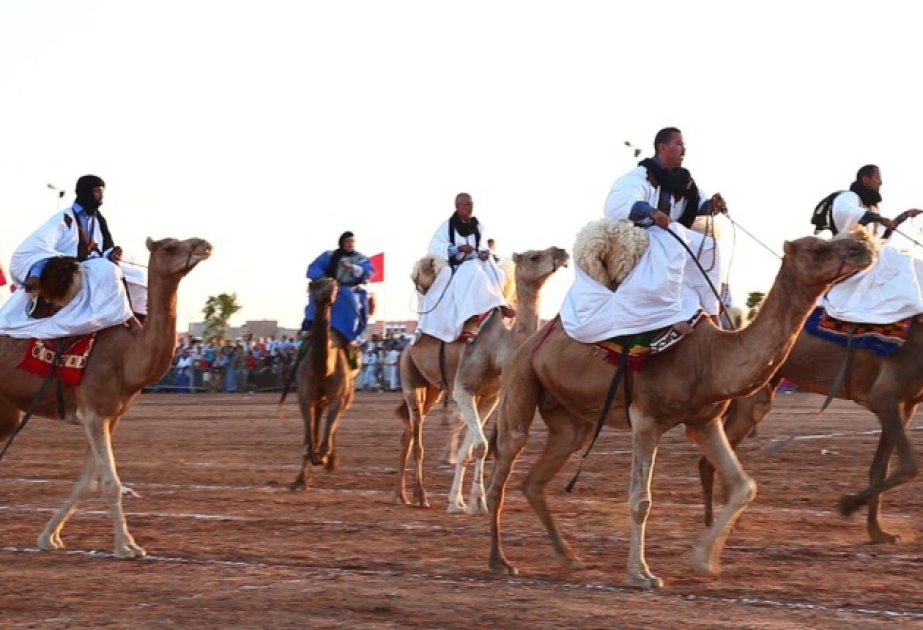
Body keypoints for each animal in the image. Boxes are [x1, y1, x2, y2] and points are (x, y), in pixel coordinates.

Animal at [0, 237, 212, 558]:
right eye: (170, 246)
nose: (204, 244)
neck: (128, 358)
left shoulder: (110, 417)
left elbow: (87, 484)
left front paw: (49, 538)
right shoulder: (93, 414)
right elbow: (110, 482)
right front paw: (126, 547)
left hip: (7, 409)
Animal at [288, 276, 356, 491]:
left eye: (335, 285)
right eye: (317, 284)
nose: (330, 291)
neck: (324, 368)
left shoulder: (338, 397)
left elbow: (329, 431)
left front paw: (324, 458)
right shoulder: (305, 395)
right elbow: (309, 438)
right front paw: (301, 478)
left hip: (346, 397)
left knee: (333, 427)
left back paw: (329, 460)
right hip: (318, 401)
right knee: (315, 428)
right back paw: (301, 478)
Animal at [393, 247, 569, 510]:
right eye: (534, 257)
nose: (562, 252)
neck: (499, 348)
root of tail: (407, 347)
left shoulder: (490, 396)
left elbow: (474, 449)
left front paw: (472, 502)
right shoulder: (463, 389)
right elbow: (480, 445)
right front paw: (466, 503)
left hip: (433, 390)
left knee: (407, 436)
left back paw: (400, 494)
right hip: (410, 381)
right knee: (417, 441)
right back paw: (420, 496)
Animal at [486, 229, 877, 588]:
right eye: (819, 248)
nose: (863, 246)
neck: (711, 356)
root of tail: (528, 343)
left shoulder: (704, 421)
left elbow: (744, 486)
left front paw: (705, 560)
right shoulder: (646, 418)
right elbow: (641, 500)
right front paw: (641, 574)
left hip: (571, 422)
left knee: (535, 480)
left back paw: (567, 556)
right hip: (520, 384)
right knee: (504, 468)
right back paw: (501, 561)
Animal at [699, 315, 923, 544]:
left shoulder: (906, 403)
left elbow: (881, 467)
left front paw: (878, 532)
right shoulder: (883, 397)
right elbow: (909, 466)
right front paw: (847, 505)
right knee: (712, 455)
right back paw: (714, 524)